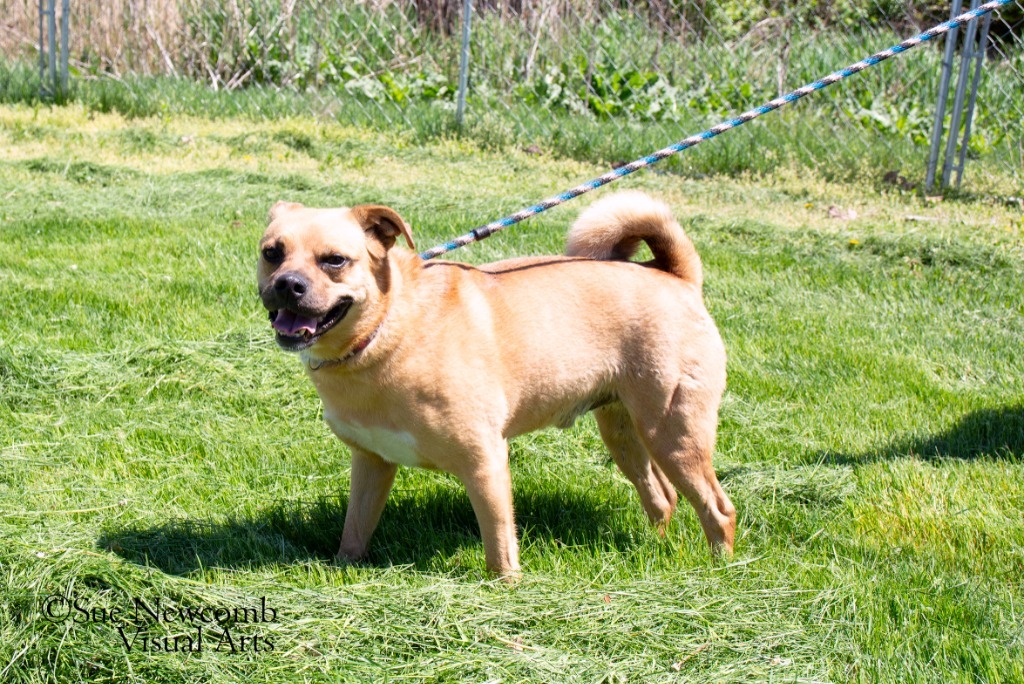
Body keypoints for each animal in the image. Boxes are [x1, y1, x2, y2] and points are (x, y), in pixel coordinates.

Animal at [256, 192, 737, 577]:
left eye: (335, 260)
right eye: (271, 253)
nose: (287, 284)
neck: (389, 327)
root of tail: (674, 275)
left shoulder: (484, 460)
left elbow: (499, 539)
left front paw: (504, 589)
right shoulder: (371, 462)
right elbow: (355, 529)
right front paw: (342, 568)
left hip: (674, 433)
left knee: (717, 508)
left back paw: (721, 571)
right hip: (623, 431)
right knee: (662, 497)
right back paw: (656, 549)